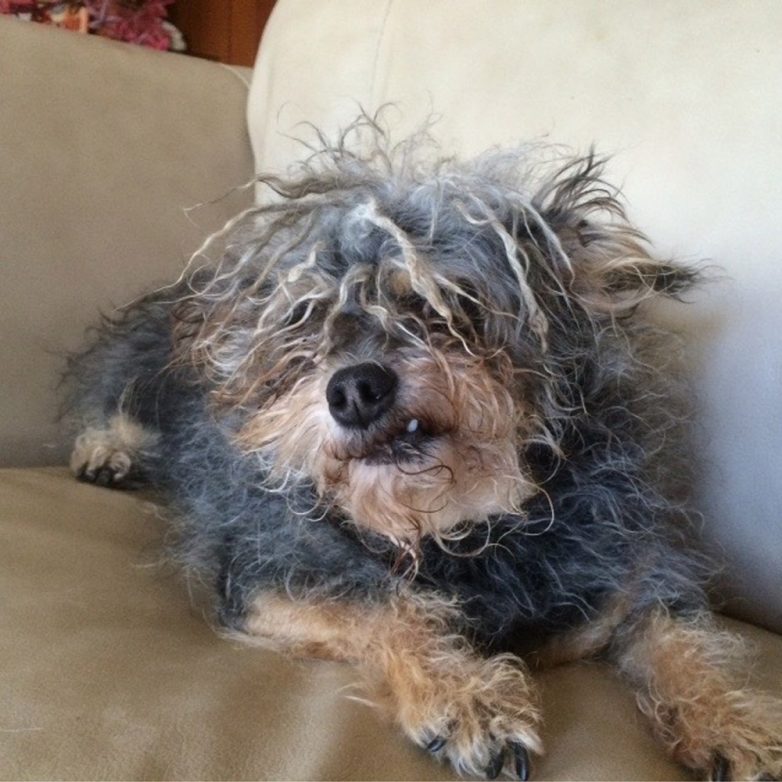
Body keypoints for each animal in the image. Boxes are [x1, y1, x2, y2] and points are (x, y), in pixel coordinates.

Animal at [64, 120, 781, 780]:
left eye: (452, 303)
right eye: (305, 322)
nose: (354, 389)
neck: (458, 528)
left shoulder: (633, 581)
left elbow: (685, 642)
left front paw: (736, 724)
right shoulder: (267, 578)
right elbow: (385, 603)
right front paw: (466, 699)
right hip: (143, 372)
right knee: (107, 397)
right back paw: (106, 452)